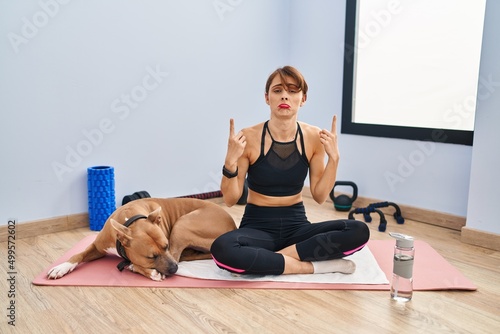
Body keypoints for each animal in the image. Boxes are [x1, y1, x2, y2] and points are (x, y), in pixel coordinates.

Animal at [47, 197, 234, 280]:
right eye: (151, 256)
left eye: (165, 246)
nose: (174, 269)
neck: (130, 219)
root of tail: (232, 225)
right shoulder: (97, 246)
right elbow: (78, 254)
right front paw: (61, 267)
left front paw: (142, 269)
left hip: (182, 224)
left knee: (177, 255)